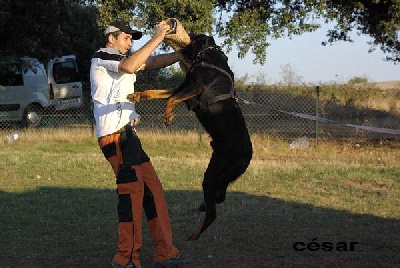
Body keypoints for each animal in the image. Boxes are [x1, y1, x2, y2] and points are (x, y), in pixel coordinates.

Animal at [128, 33, 253, 241]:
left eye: (193, 38)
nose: (179, 46)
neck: (206, 55)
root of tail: (248, 155)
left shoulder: (195, 87)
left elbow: (170, 99)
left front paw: (168, 116)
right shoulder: (183, 87)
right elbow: (158, 93)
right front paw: (137, 95)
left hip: (215, 175)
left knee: (213, 211)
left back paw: (196, 232)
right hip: (216, 171)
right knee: (220, 195)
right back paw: (204, 206)